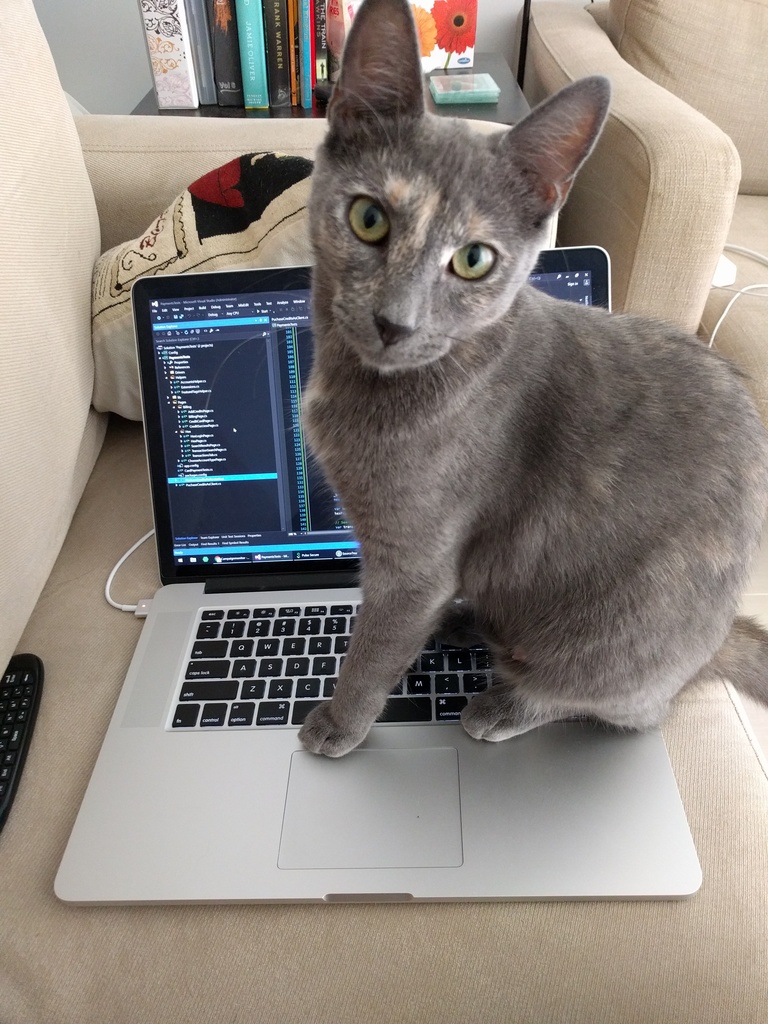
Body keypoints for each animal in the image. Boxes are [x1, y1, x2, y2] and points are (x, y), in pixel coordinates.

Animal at [296, 0, 768, 757]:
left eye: (474, 260)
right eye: (369, 218)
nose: (396, 321)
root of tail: (713, 646)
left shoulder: (413, 561)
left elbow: (374, 647)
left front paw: (338, 722)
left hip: (619, 638)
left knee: (609, 703)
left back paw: (500, 705)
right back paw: (463, 619)